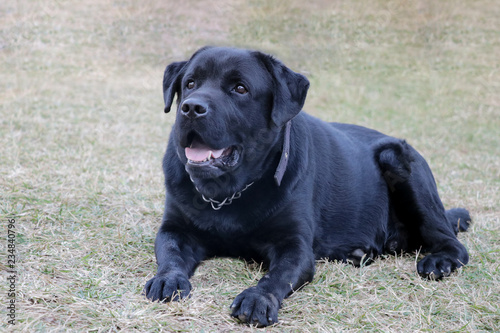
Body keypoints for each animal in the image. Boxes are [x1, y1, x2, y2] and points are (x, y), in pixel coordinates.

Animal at [144, 45, 468, 326]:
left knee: (453, 244)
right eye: (190, 83)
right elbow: (170, 254)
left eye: (240, 88)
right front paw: (168, 279)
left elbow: (277, 276)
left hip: (400, 162)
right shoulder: (175, 229)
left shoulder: (295, 245)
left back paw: (438, 261)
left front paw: (258, 298)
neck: (227, 193)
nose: (191, 107)